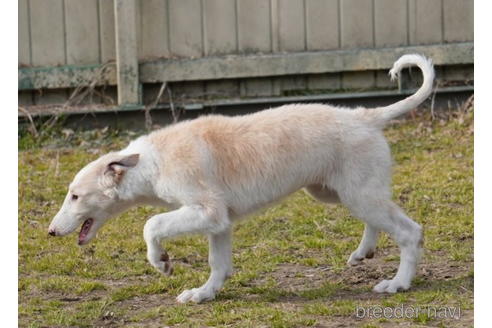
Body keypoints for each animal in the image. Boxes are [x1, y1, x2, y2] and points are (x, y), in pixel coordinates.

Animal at [49, 53, 434, 302]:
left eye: (75, 196)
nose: (51, 232)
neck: (152, 161)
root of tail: (366, 116)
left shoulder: (207, 211)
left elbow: (151, 224)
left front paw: (161, 263)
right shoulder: (219, 224)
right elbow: (218, 265)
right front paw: (203, 294)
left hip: (357, 195)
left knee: (410, 232)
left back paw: (397, 283)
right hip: (336, 192)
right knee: (379, 220)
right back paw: (364, 252)